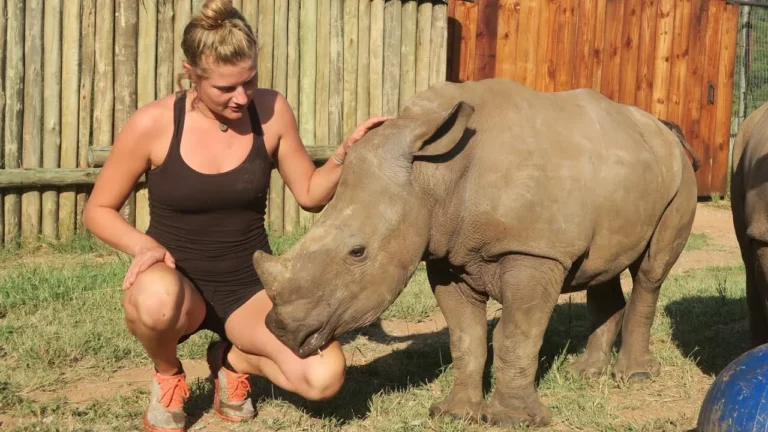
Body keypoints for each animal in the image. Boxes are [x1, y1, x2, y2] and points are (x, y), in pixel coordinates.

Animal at [253, 78, 700, 427]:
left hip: (680, 177)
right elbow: (465, 337)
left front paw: (514, 420)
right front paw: (454, 414)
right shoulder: (447, 254)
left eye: (358, 253)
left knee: (651, 272)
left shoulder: (534, 252)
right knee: (602, 267)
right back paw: (587, 373)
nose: (282, 331)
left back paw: (635, 376)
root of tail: (664, 129)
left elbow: (516, 334)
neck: (433, 175)